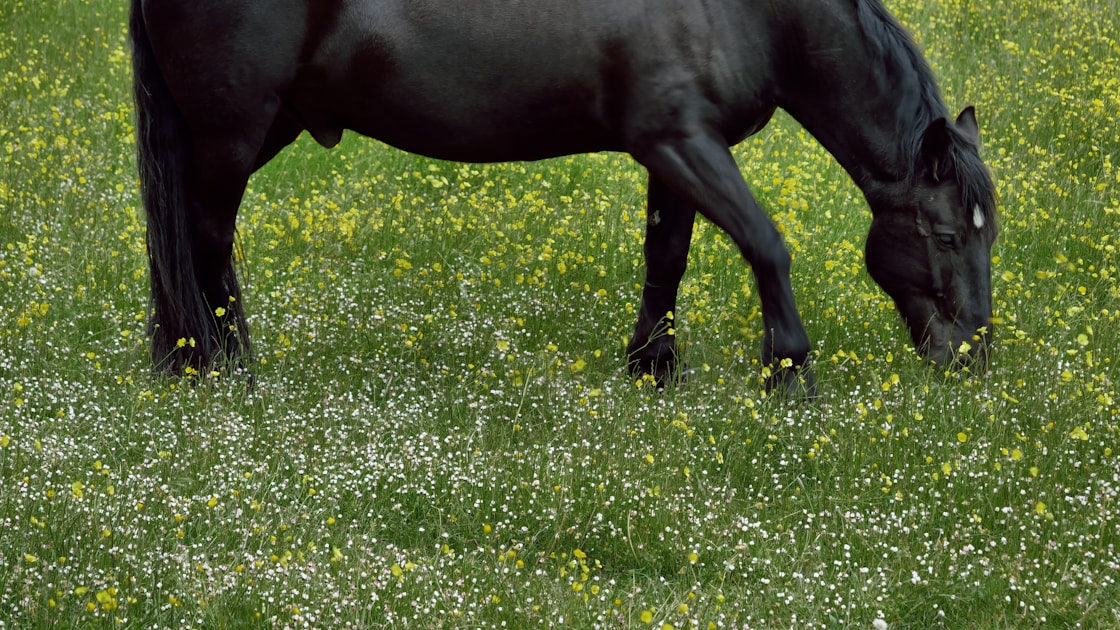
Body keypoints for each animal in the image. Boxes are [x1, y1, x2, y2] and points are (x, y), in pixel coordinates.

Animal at [130, 0, 997, 395]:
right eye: (948, 236)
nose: (974, 356)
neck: (747, 15)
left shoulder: (676, 152)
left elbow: (667, 257)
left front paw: (653, 367)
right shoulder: (682, 143)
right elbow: (766, 244)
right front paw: (787, 372)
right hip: (233, 133)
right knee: (206, 242)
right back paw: (221, 365)